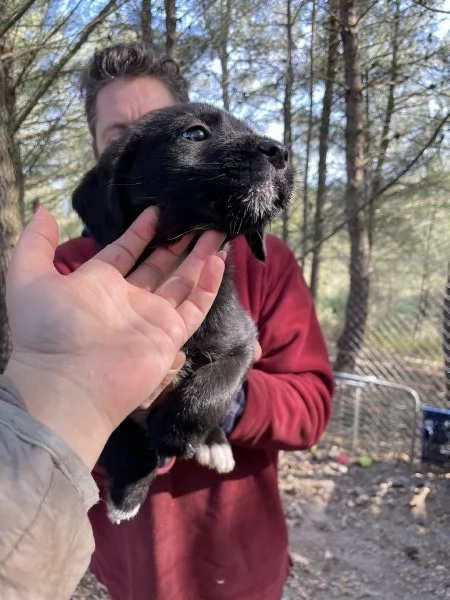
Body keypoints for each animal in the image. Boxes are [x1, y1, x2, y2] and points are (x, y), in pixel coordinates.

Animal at [73, 103, 292, 520]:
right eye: (194, 133)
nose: (282, 152)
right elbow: (115, 429)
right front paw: (129, 488)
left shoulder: (243, 343)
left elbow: (214, 387)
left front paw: (174, 434)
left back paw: (214, 442)